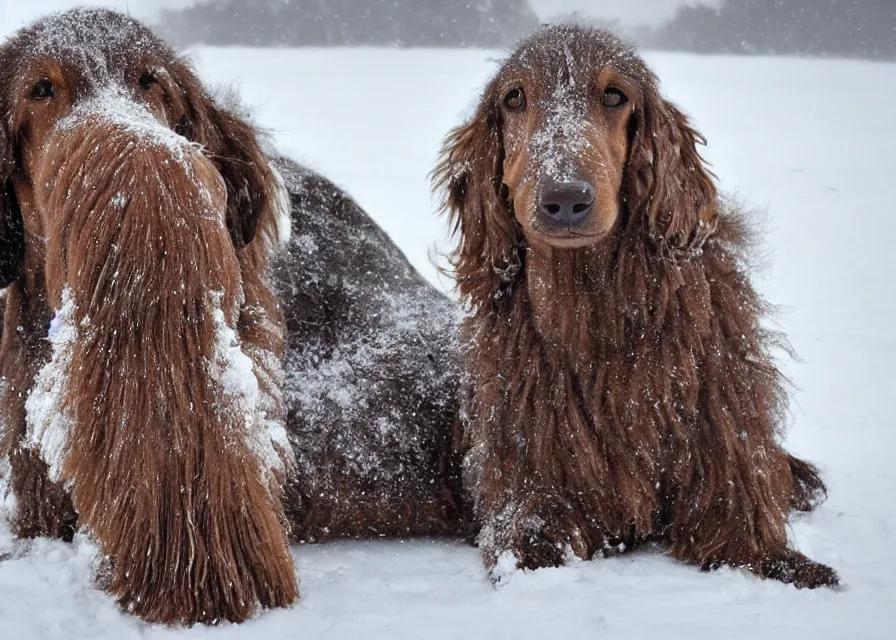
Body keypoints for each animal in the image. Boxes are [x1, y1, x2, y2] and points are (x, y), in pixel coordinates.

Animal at [436, 26, 840, 592]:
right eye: (514, 98)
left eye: (614, 95)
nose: (565, 199)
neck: (589, 301)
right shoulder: (529, 451)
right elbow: (528, 531)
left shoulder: (719, 418)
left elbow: (738, 519)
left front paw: (789, 566)